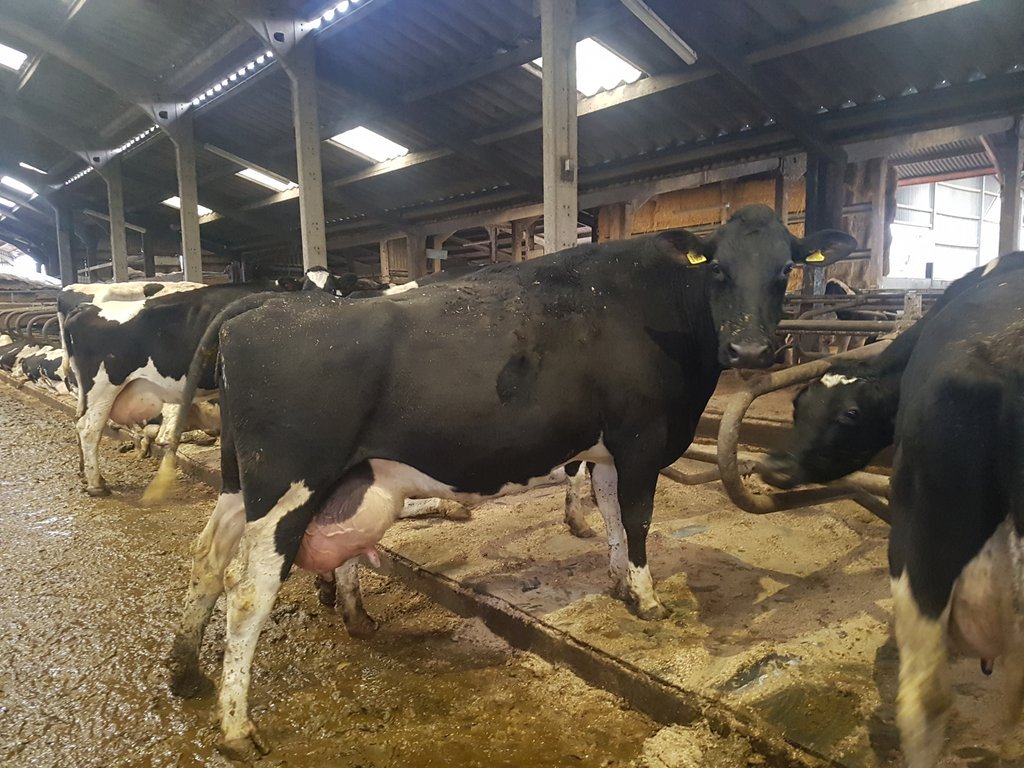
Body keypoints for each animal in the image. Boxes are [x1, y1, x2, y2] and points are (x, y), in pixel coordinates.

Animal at [159, 204, 856, 757]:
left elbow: (608, 513)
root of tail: (262, 303)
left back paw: (185, 672)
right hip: (288, 483)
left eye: (784, 271)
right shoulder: (640, 438)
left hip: (242, 481)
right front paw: (648, 599)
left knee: (204, 557)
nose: (750, 352)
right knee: (248, 590)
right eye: (718, 271)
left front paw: (618, 584)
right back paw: (237, 729)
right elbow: (636, 518)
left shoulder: (608, 448)